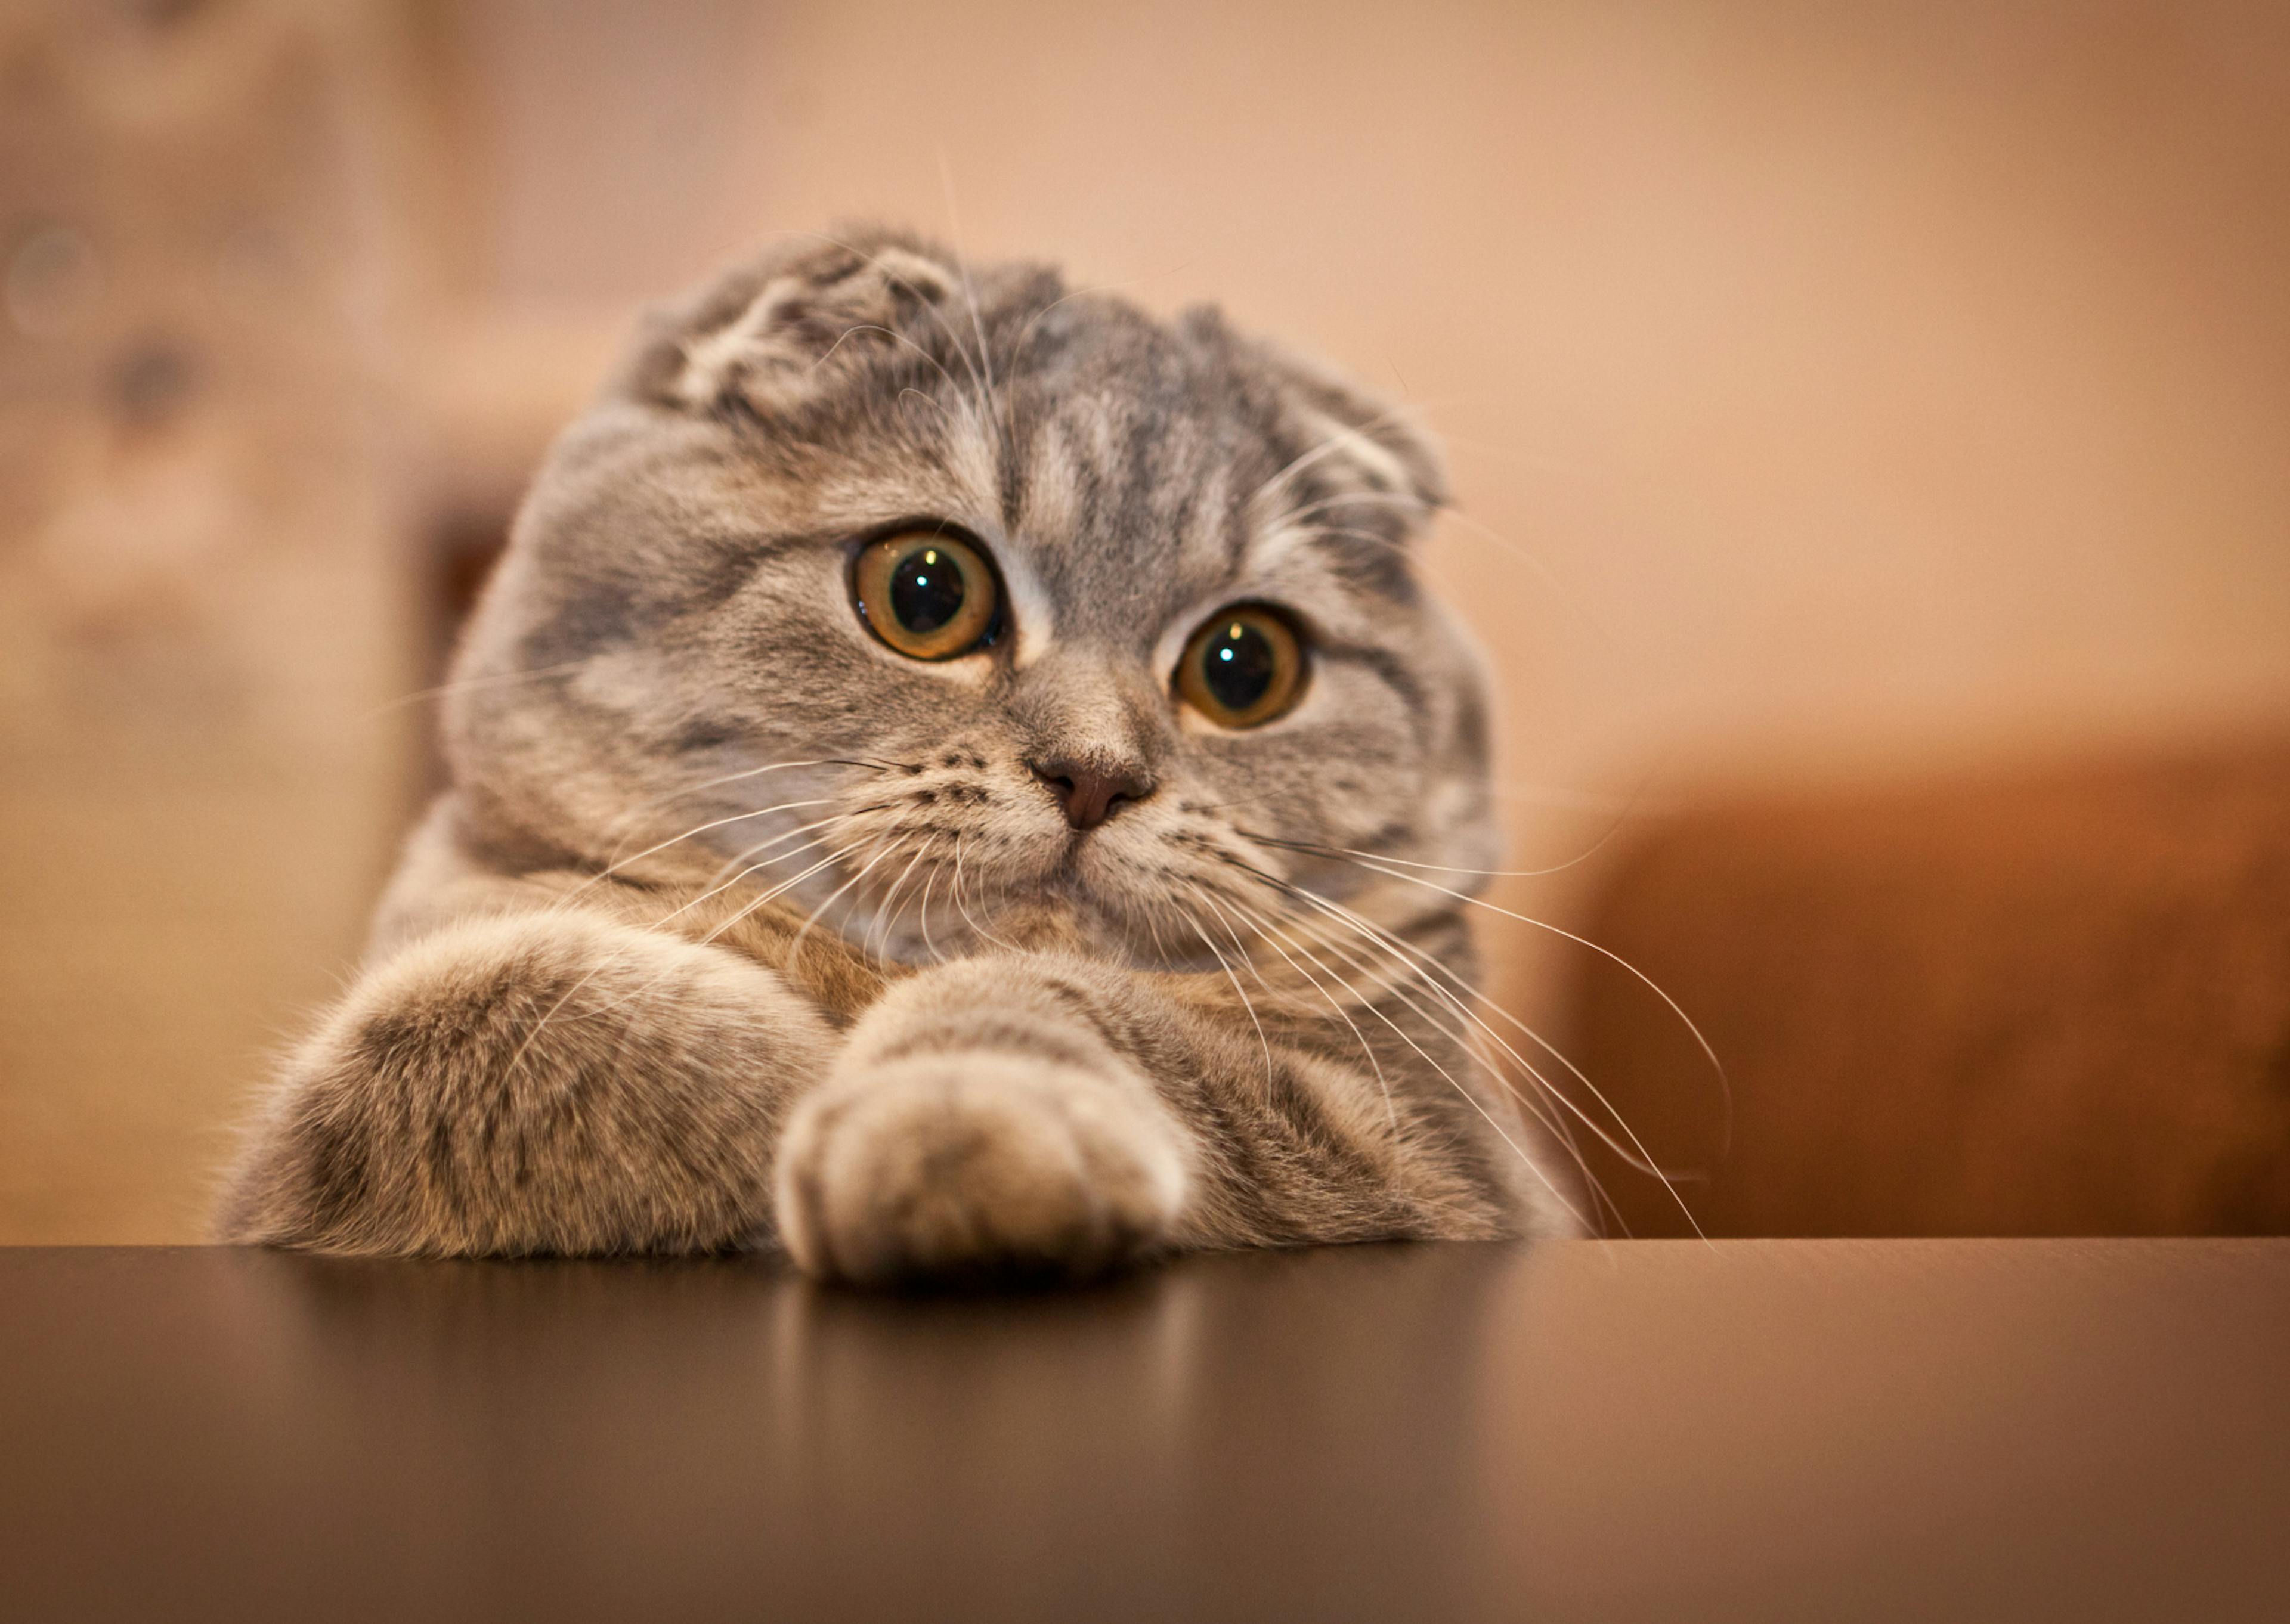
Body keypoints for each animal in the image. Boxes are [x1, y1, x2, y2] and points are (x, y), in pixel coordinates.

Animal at [215, 224, 1585, 1282]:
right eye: (927, 590)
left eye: (1246, 667)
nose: (1097, 773)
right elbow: (480, 997)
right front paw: (786, 1078)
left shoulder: (1433, 1145)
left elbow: (1076, 1006)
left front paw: (942, 1122)